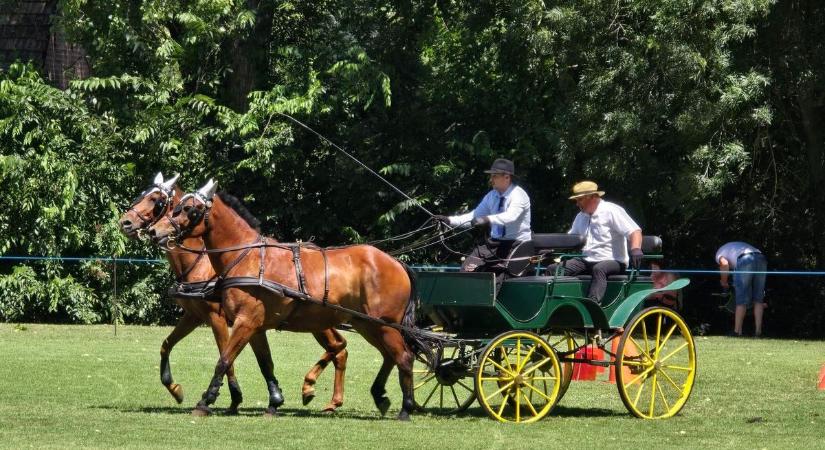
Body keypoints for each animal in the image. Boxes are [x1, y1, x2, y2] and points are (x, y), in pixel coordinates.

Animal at [117, 174, 346, 414]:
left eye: (156, 200)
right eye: (142, 195)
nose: (125, 223)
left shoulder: (219, 317)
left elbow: (226, 358)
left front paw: (231, 397)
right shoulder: (195, 315)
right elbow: (166, 345)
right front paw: (175, 389)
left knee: (339, 347)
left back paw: (314, 389)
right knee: (340, 348)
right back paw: (330, 399)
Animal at [146, 181, 422, 420]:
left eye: (190, 209)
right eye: (176, 206)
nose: (154, 231)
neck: (247, 258)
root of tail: (396, 262)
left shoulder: (245, 321)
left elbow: (224, 360)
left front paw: (206, 401)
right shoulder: (255, 326)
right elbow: (265, 363)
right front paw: (274, 402)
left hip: (382, 324)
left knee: (403, 357)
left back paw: (405, 408)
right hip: (367, 324)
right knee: (386, 356)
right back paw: (378, 396)